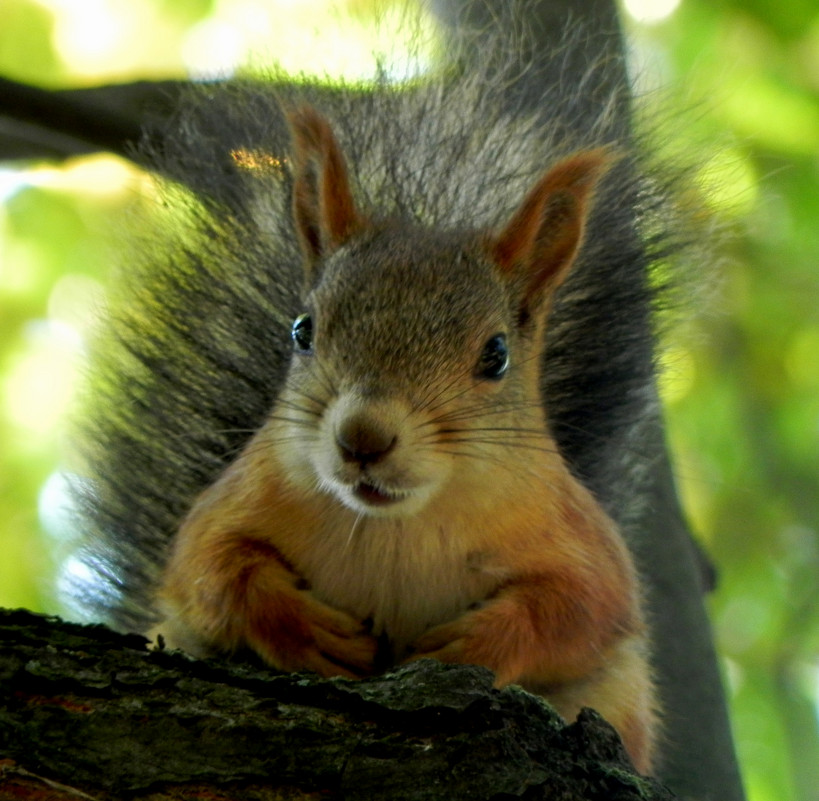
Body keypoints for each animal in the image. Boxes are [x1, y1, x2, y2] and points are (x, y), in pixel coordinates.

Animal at [64, 14, 696, 776]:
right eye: (302, 329)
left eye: (495, 355)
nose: (362, 436)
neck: (395, 528)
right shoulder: (228, 506)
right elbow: (209, 570)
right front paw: (302, 628)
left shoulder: (580, 539)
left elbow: (581, 609)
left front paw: (478, 644)